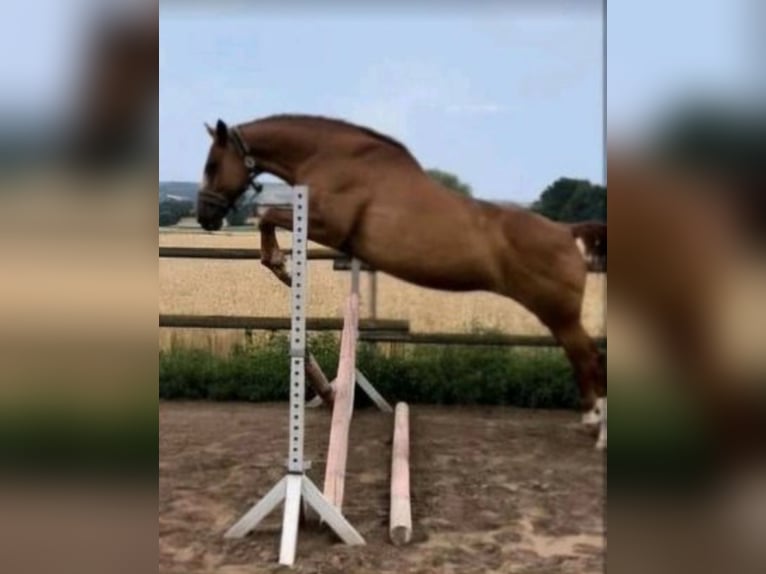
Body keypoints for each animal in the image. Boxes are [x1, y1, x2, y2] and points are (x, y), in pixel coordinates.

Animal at [200, 115, 612, 448]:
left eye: (213, 163)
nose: (205, 216)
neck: (330, 157)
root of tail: (567, 232)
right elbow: (268, 215)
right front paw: (281, 264)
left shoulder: (329, 225)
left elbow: (268, 213)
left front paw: (280, 264)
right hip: (556, 314)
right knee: (583, 359)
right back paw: (589, 423)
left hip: (558, 312)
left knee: (589, 358)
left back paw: (600, 433)